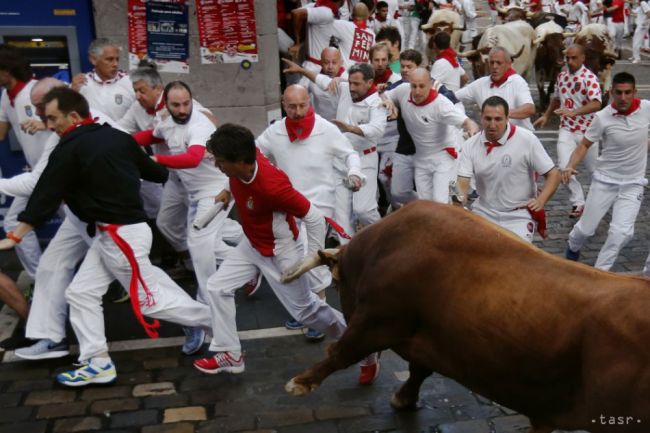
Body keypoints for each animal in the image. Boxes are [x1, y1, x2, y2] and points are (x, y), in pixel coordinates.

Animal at [282, 201, 648, 430]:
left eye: (339, 284)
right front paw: (403, 399)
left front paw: (300, 383)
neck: (382, 249)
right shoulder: (422, 337)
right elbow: (418, 370)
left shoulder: (377, 320)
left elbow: (341, 351)